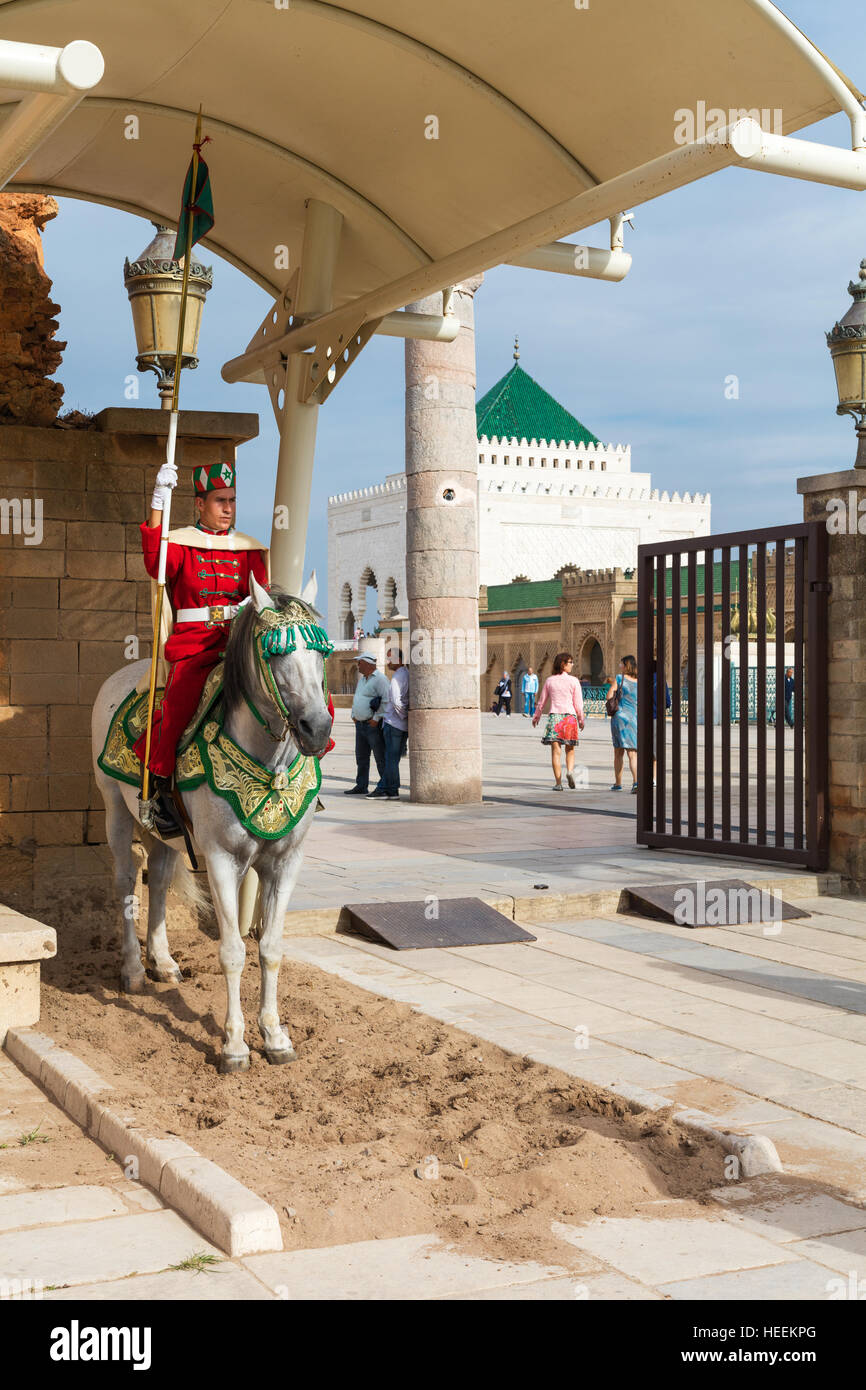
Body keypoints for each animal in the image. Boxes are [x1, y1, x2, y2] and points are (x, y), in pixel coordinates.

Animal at [91, 575, 333, 1073]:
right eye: (275, 654)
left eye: (321, 651)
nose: (317, 729)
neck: (270, 765)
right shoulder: (223, 861)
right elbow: (233, 951)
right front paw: (235, 1044)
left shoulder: (286, 862)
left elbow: (271, 948)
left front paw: (275, 1036)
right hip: (115, 809)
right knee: (127, 879)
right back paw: (132, 969)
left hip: (164, 833)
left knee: (160, 877)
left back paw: (162, 961)